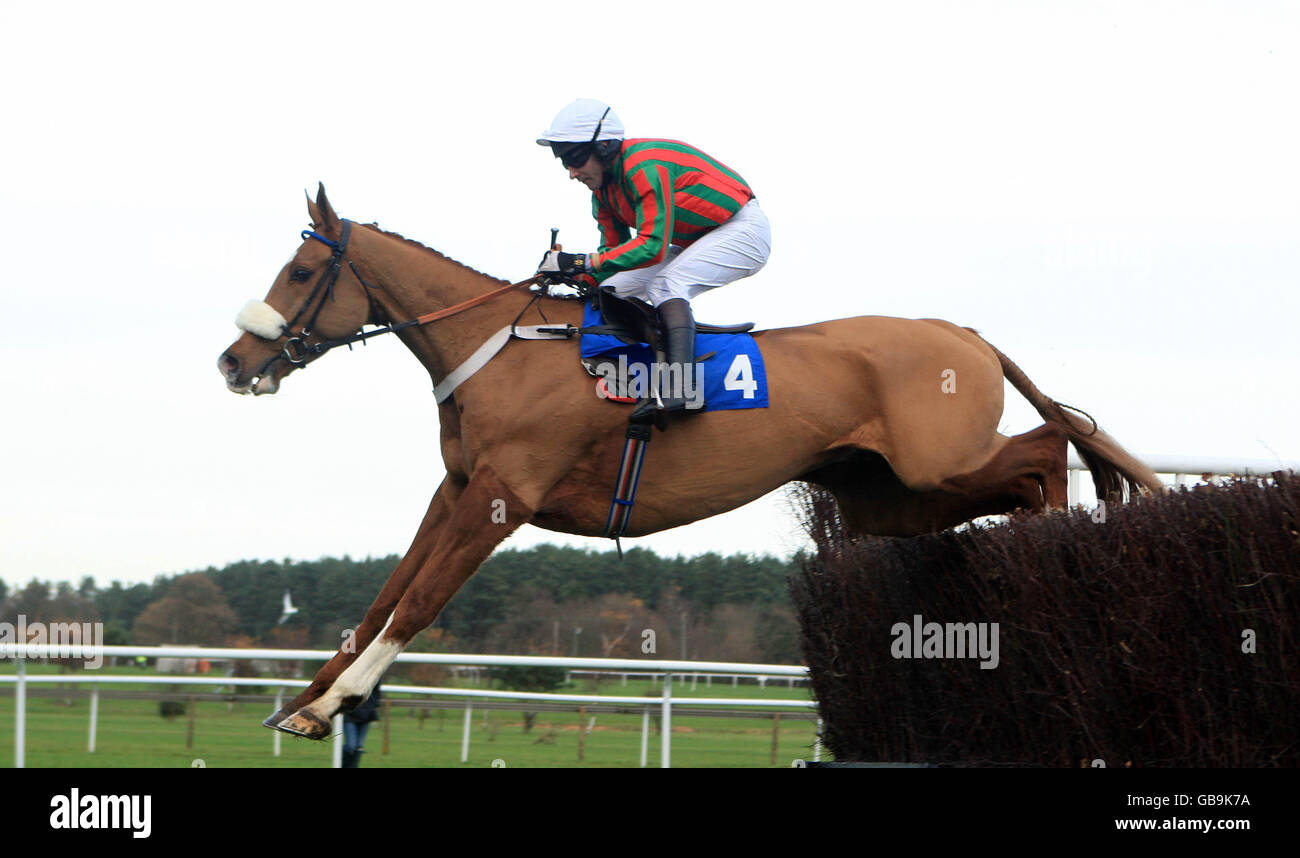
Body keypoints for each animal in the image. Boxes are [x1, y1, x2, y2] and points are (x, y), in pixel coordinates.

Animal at [218, 183, 1164, 738]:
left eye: (299, 270)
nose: (233, 361)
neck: (503, 346)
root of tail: (963, 333)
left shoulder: (501, 496)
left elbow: (419, 601)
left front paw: (335, 700)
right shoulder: (455, 490)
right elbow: (387, 592)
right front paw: (310, 699)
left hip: (940, 463)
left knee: (1050, 449)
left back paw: (1064, 543)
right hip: (890, 497)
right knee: (1031, 468)